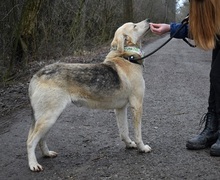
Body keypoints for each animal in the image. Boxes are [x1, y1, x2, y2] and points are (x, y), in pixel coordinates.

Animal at [26, 19, 151, 171]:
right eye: (134, 26)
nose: (148, 21)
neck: (127, 57)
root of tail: (36, 75)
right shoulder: (137, 105)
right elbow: (138, 134)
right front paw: (142, 148)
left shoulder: (120, 109)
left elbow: (124, 131)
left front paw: (129, 144)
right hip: (49, 117)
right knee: (31, 141)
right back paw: (33, 164)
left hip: (50, 118)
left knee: (41, 139)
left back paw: (47, 154)